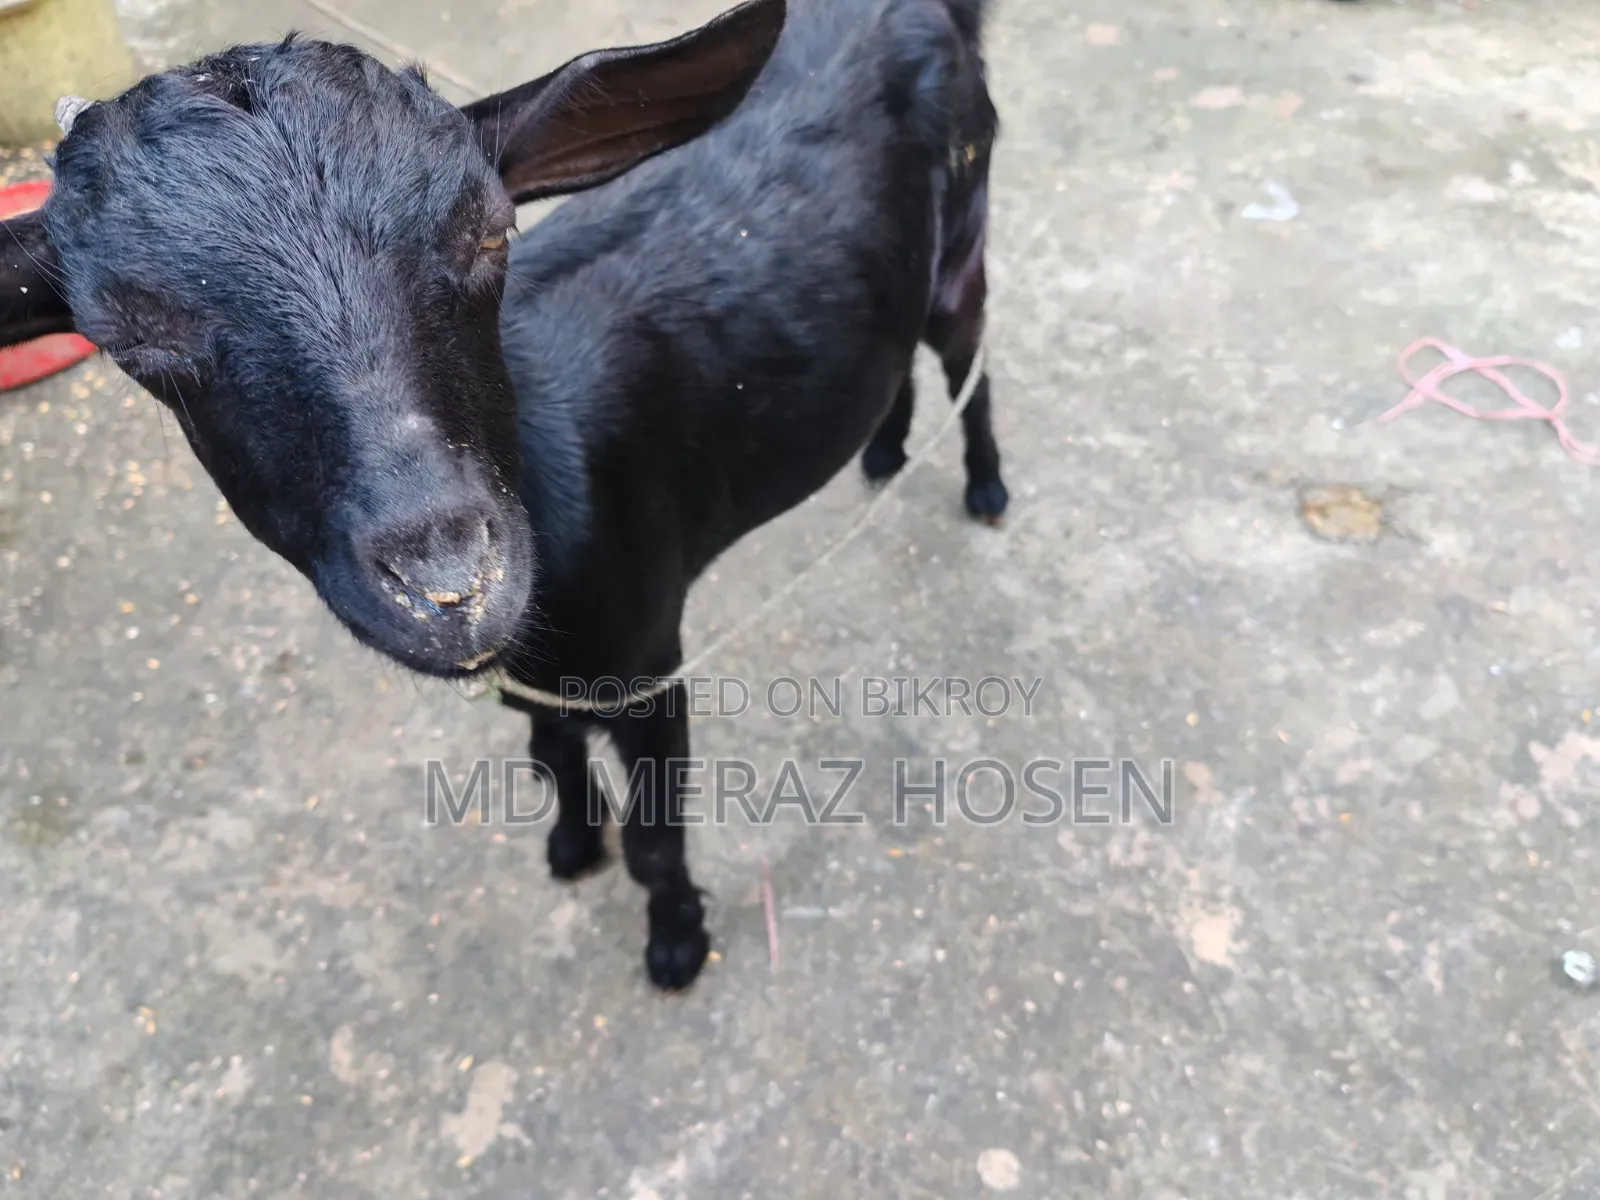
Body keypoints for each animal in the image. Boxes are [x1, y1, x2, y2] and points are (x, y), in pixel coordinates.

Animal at [0, 0, 1007, 989]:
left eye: (491, 230)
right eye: (128, 338)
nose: (452, 586)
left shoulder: (645, 664)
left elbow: (654, 836)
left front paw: (676, 943)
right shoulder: (538, 671)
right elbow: (548, 751)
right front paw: (572, 843)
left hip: (968, 232)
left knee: (970, 355)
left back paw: (987, 486)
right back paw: (883, 449)